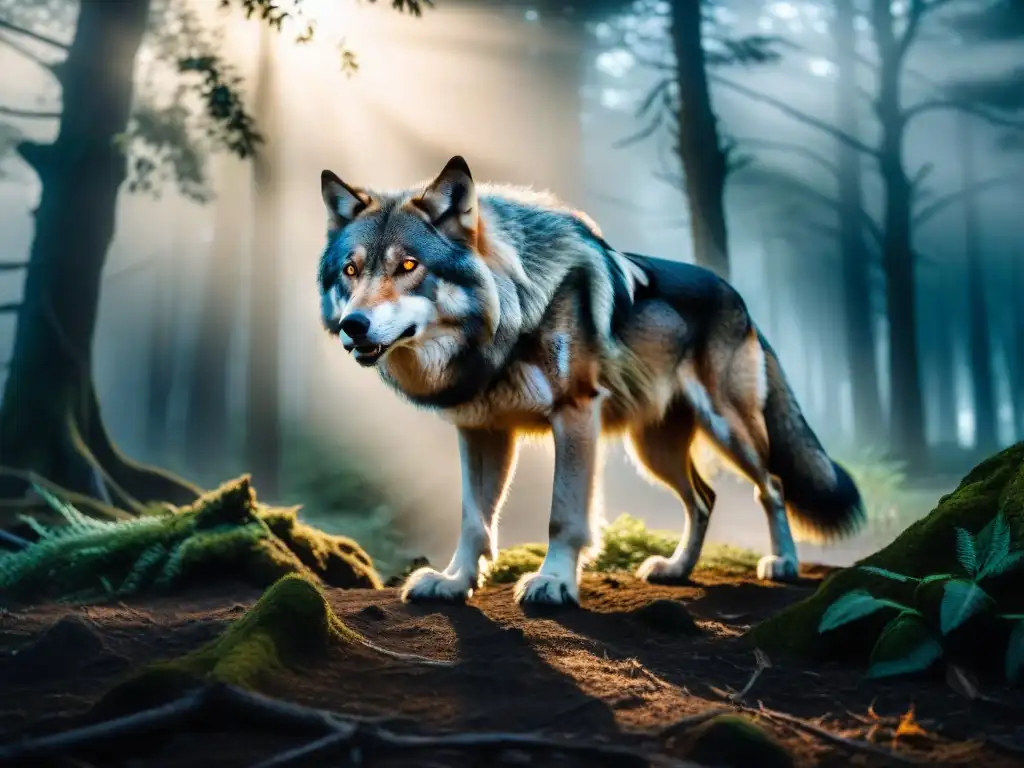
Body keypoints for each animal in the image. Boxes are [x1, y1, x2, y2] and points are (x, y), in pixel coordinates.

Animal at [316, 155, 865, 607]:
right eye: (352, 270)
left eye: (409, 265)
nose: (353, 325)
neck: (511, 314)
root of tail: (737, 296)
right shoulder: (480, 430)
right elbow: (474, 520)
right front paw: (454, 583)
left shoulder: (575, 413)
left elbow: (564, 513)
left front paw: (554, 582)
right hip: (655, 451)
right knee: (704, 499)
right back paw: (676, 569)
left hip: (728, 430)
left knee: (771, 485)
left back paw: (783, 562)